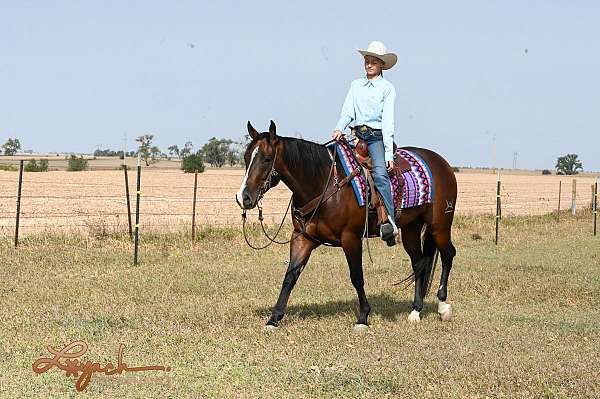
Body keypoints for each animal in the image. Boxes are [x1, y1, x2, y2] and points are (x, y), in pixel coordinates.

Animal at [237, 122, 458, 332]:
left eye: (267, 159)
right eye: (247, 157)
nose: (243, 197)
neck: (323, 184)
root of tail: (442, 163)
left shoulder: (350, 238)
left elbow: (356, 276)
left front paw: (363, 317)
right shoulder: (302, 238)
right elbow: (290, 276)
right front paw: (274, 319)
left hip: (439, 226)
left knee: (448, 254)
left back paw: (443, 306)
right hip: (412, 228)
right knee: (420, 263)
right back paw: (416, 311)